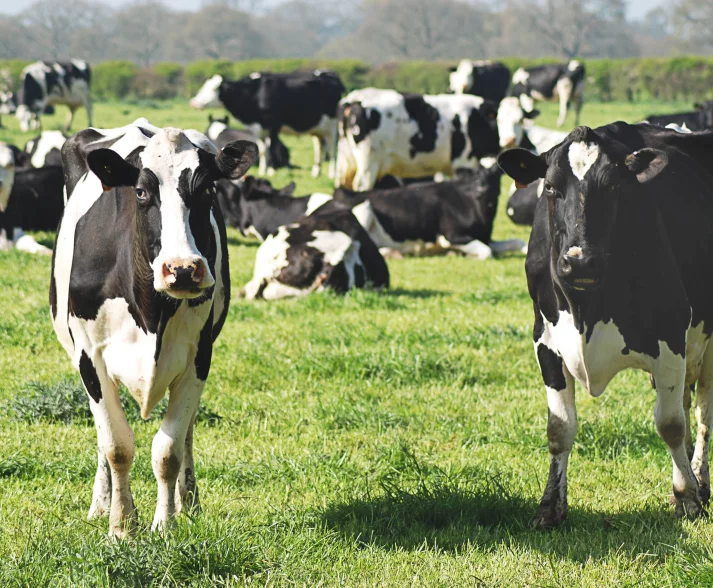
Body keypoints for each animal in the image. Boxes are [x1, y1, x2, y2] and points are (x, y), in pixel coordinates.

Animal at [50, 118, 257, 537]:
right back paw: (101, 503)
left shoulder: (198, 356)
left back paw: (189, 501)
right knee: (103, 437)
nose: (183, 269)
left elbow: (168, 449)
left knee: (188, 429)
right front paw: (120, 526)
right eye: (142, 191)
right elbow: (116, 445)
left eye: (208, 189)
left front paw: (165, 524)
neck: (151, 314)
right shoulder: (89, 357)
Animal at [190, 69, 344, 178]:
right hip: (318, 129)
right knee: (320, 148)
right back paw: (316, 172)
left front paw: (271, 171)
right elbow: (263, 150)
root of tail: (331, 75)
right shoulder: (258, 129)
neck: (255, 92)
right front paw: (262, 171)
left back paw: (332, 173)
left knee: (332, 149)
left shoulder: (273, 126)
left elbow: (271, 148)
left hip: (332, 126)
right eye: (203, 86)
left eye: (212, 89)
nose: (194, 103)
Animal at [333, 165, 525, 259]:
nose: (482, 189)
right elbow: (487, 252)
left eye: (494, 176)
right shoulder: (451, 236)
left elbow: (518, 242)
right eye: (473, 176)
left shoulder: (486, 237)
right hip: (363, 209)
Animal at [497, 122, 713, 528]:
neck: (586, 309)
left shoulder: (671, 334)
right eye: (550, 187)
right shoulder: (545, 340)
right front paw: (550, 507)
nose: (580, 261)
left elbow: (670, 424)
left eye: (614, 186)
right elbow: (559, 428)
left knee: (703, 410)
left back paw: (699, 481)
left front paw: (687, 498)